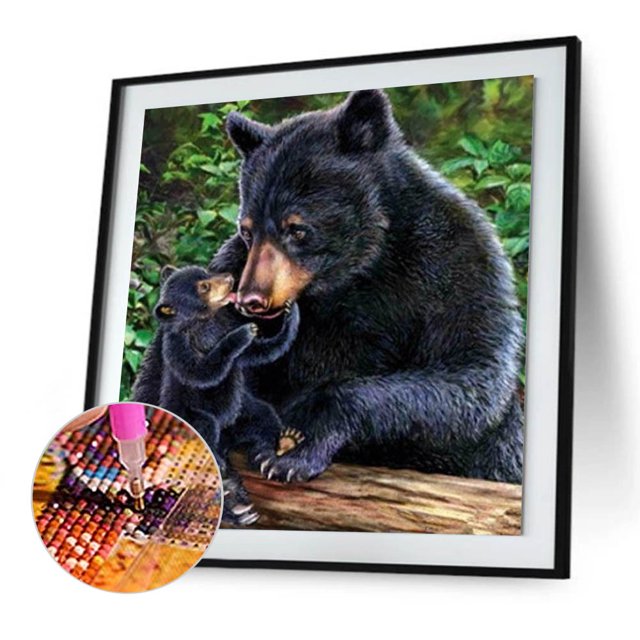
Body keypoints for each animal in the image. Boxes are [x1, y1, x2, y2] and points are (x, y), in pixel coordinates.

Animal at [138, 264, 300, 524]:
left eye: (206, 272)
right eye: (204, 286)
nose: (230, 277)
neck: (204, 322)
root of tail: (227, 437)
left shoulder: (225, 328)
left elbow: (263, 351)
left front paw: (288, 311)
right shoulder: (179, 345)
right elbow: (201, 371)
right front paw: (244, 333)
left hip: (242, 412)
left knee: (264, 417)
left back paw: (277, 447)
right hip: (193, 415)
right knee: (206, 426)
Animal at [204, 88, 524, 485]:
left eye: (298, 229)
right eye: (248, 231)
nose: (251, 299)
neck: (359, 269)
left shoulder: (459, 264)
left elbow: (471, 376)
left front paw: (297, 447)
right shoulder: (232, 264)